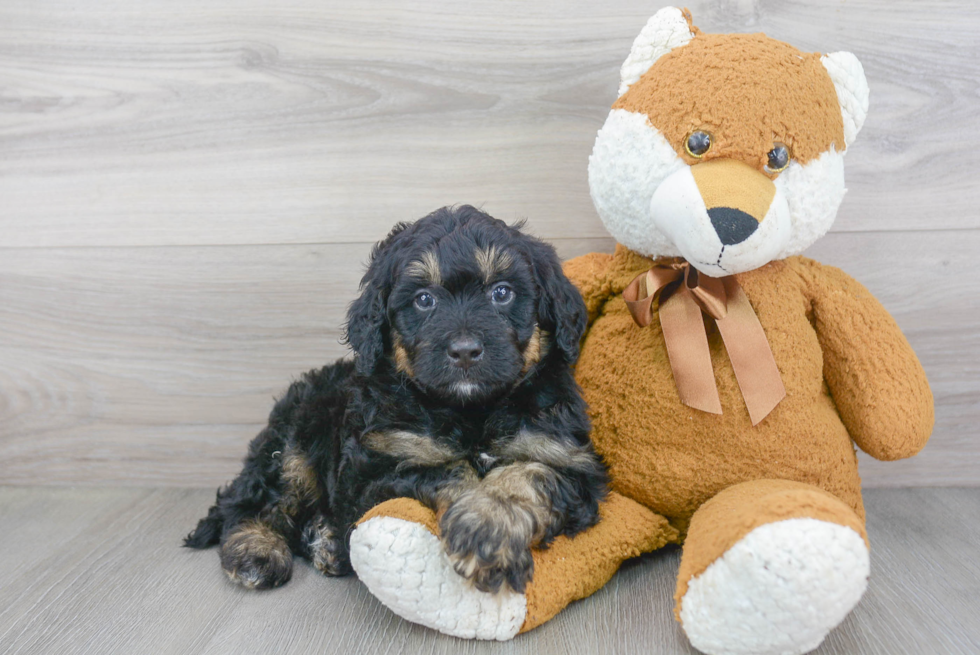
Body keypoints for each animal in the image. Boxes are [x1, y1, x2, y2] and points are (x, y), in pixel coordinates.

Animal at [186, 205, 604, 596]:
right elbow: (449, 468)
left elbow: (528, 473)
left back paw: (328, 542)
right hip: (295, 442)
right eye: (424, 300)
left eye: (501, 292)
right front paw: (481, 527)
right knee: (252, 504)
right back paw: (258, 551)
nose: (465, 351)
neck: (472, 412)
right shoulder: (376, 468)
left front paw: (488, 524)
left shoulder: (568, 460)